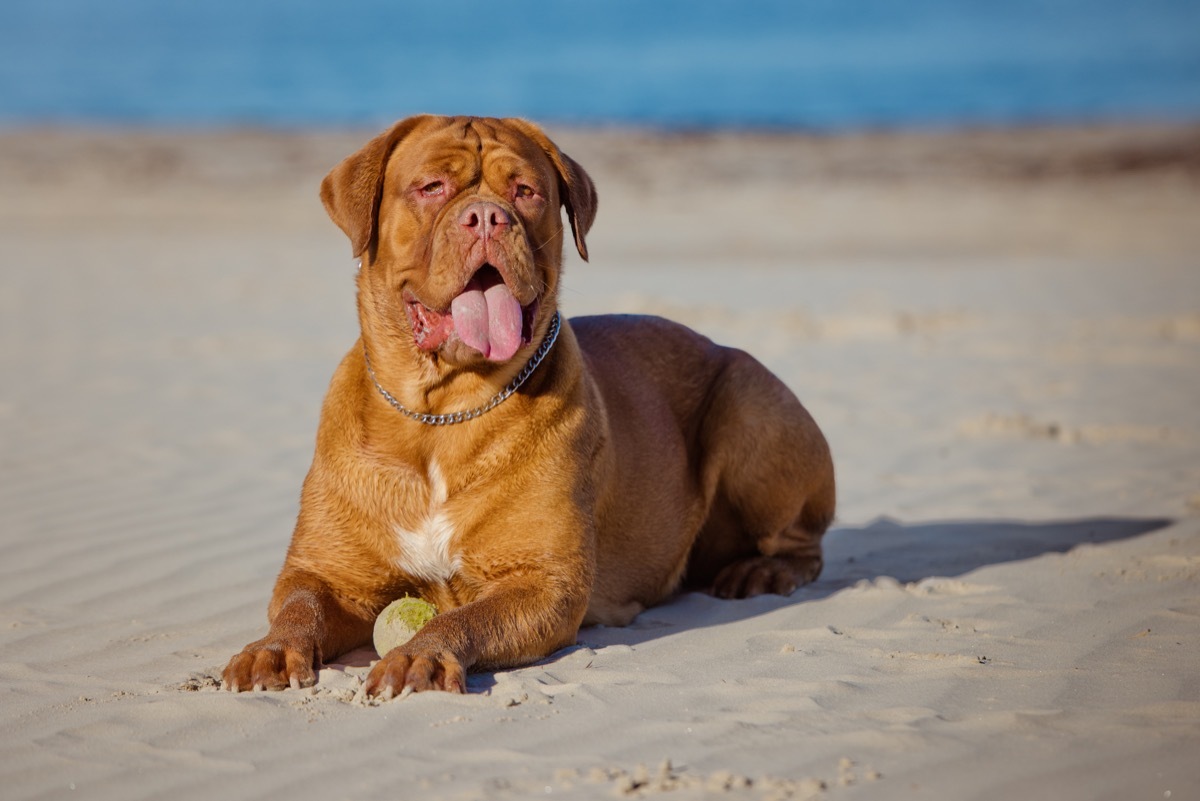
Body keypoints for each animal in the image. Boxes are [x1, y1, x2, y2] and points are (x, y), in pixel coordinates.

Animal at [223, 115, 835, 695]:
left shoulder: (542, 582)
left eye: (526, 191)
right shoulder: (327, 574)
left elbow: (463, 619)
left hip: (749, 405)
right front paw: (269, 651)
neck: (442, 412)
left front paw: (420, 655)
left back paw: (763, 573)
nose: (486, 217)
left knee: (804, 541)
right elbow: (300, 606)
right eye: (431, 187)